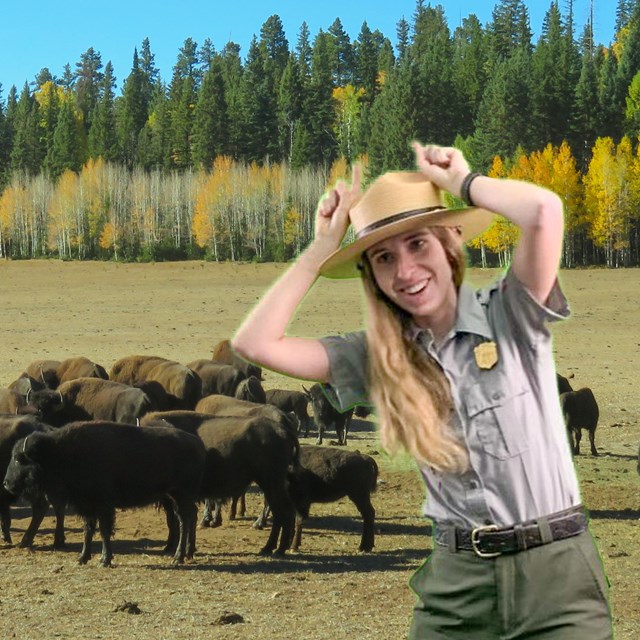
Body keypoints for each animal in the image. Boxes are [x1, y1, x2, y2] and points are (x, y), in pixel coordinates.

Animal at [3, 422, 205, 568]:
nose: (6, 483)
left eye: (18, 459)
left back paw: (178, 557)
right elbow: (88, 530)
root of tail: (197, 443)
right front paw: (82, 558)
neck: (60, 452)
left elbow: (104, 530)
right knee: (188, 518)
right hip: (175, 496)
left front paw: (104, 560)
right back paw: (187, 553)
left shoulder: (103, 505)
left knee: (184, 521)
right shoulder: (87, 506)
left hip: (181, 495)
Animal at [141, 410, 296, 556]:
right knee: (283, 511)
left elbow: (175, 520)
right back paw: (276, 547)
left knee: (281, 512)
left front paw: (172, 547)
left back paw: (273, 548)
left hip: (270, 483)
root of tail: (283, 431)